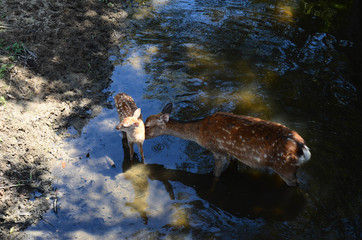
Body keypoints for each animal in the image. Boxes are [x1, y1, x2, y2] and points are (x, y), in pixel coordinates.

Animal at [144, 103, 312, 186]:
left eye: (147, 126)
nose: (141, 136)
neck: (199, 133)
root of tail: (303, 150)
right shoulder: (233, 153)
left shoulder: (218, 151)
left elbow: (216, 175)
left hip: (285, 169)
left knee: (296, 185)